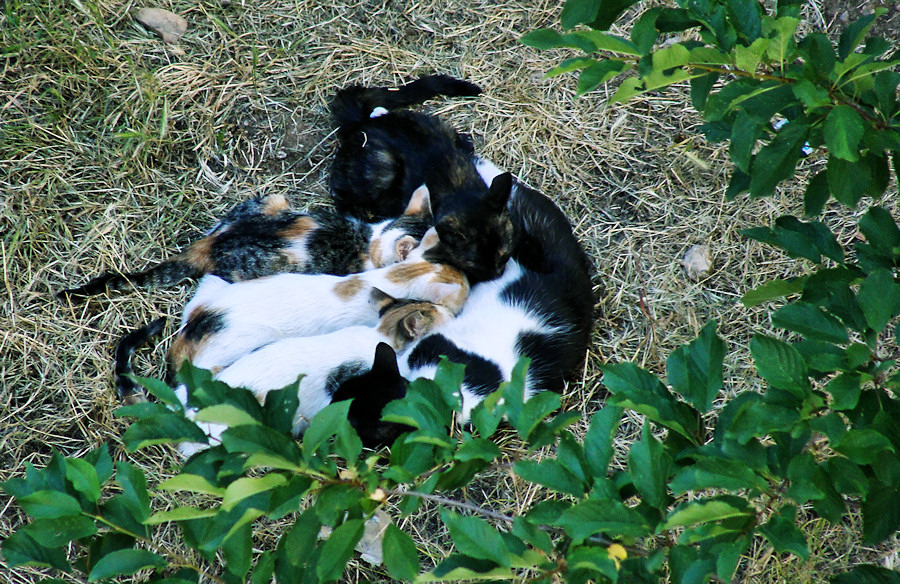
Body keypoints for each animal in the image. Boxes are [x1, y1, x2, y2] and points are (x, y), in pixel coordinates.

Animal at [326, 73, 516, 286]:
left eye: (504, 256)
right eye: (474, 265)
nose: (495, 276)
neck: (460, 192)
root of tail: (363, 122)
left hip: (439, 127)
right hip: (382, 169)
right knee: (341, 193)